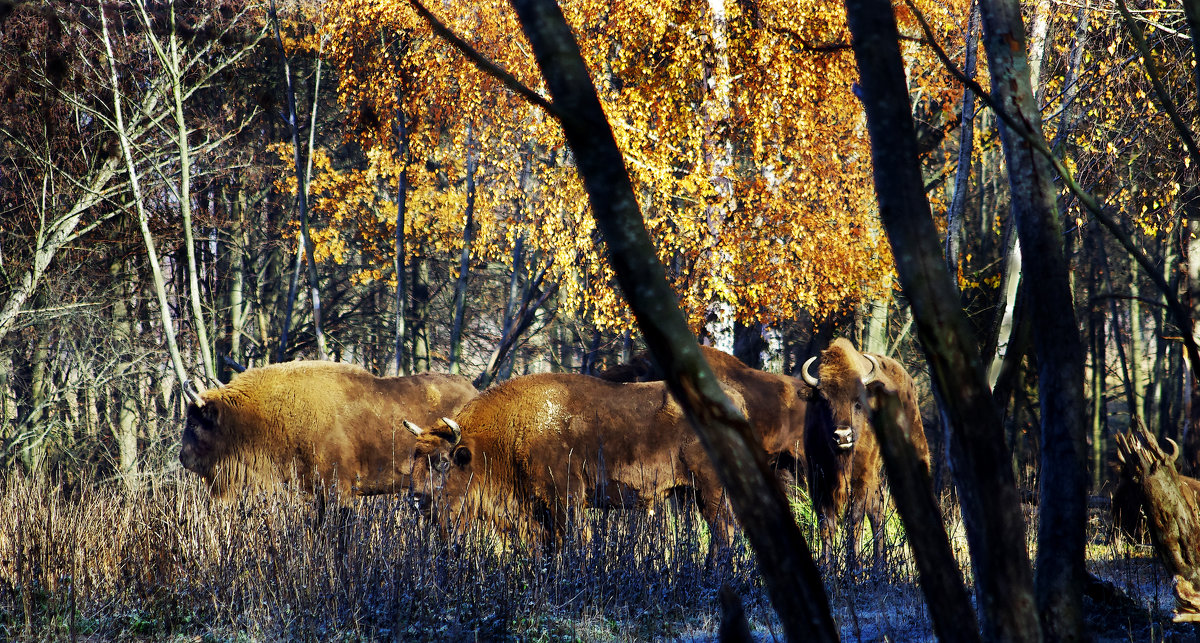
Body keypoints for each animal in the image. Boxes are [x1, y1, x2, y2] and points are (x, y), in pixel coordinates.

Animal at [398, 371, 744, 551]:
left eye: (443, 461)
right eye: (415, 459)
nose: (416, 500)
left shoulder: (565, 496)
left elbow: (572, 540)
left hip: (712, 490)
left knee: (724, 531)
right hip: (690, 493)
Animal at [801, 335, 931, 568]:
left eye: (858, 402)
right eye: (824, 400)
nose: (843, 436)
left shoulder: (860, 477)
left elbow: (855, 519)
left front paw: (855, 565)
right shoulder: (820, 478)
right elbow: (827, 522)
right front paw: (827, 565)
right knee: (878, 510)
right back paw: (880, 563)